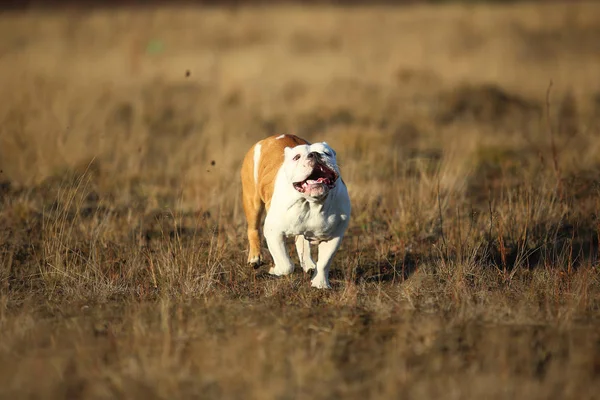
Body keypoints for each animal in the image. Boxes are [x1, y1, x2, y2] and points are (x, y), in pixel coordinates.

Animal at [240, 134, 352, 288]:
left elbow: (324, 262)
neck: (312, 203)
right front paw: (275, 270)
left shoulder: (333, 236)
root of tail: (269, 138)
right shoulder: (274, 232)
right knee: (253, 229)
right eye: (297, 157)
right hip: (252, 201)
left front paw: (320, 284)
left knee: (302, 241)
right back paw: (255, 258)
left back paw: (308, 264)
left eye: (327, 153)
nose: (315, 154)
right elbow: (286, 265)